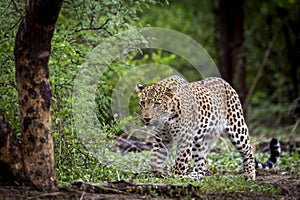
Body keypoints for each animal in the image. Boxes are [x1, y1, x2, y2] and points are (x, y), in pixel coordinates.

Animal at [137, 75, 280, 180]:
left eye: (157, 104)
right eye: (142, 103)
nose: (146, 118)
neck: (166, 119)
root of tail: (224, 82)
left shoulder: (185, 137)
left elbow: (180, 161)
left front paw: (176, 178)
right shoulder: (162, 138)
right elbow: (156, 157)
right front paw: (157, 175)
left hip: (237, 127)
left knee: (248, 150)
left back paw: (249, 174)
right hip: (199, 139)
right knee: (202, 164)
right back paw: (194, 176)